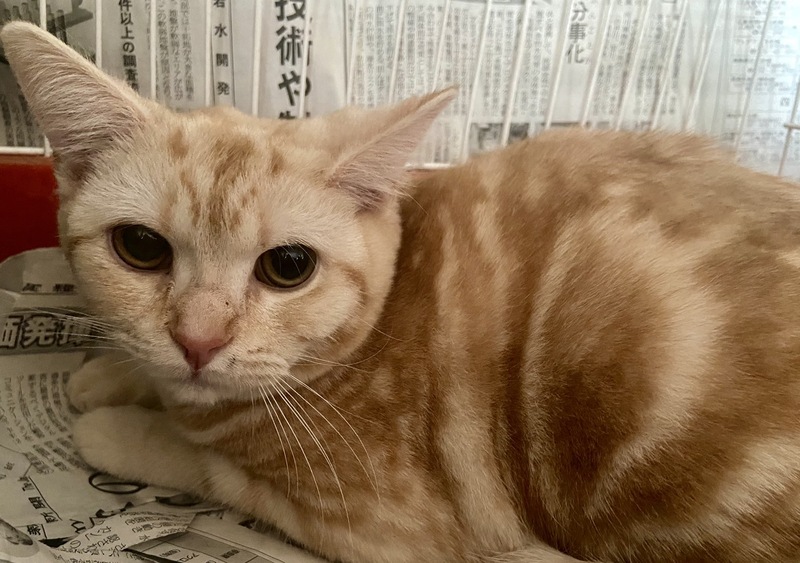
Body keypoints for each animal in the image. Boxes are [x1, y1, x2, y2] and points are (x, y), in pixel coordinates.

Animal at [4, 19, 800, 563]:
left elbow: (209, 464)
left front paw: (120, 427)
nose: (198, 340)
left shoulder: (383, 524)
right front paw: (111, 372)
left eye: (287, 266)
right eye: (141, 249)